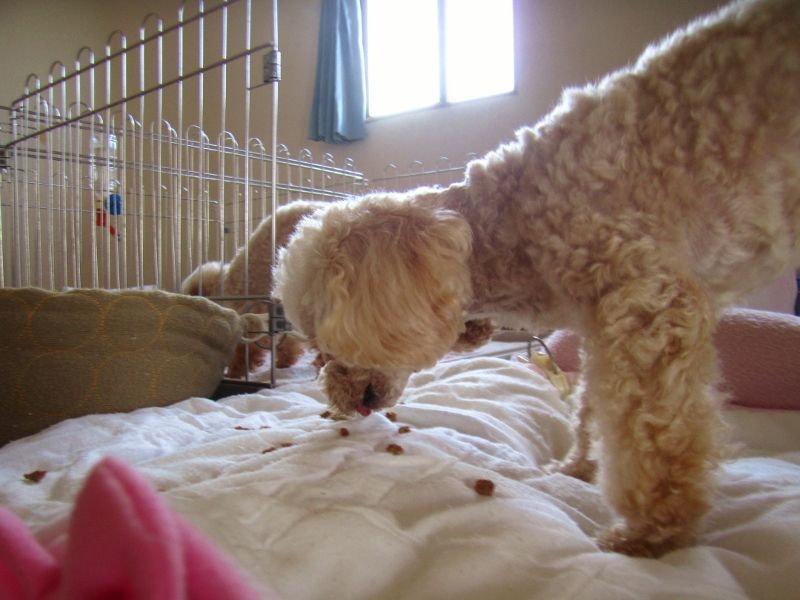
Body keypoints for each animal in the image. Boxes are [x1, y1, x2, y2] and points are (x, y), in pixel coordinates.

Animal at [273, 0, 800, 557]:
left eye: (328, 343)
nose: (340, 400)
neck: (512, 216)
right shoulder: (602, 324)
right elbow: (594, 405)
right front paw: (579, 467)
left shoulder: (649, 307)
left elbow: (652, 434)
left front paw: (650, 532)